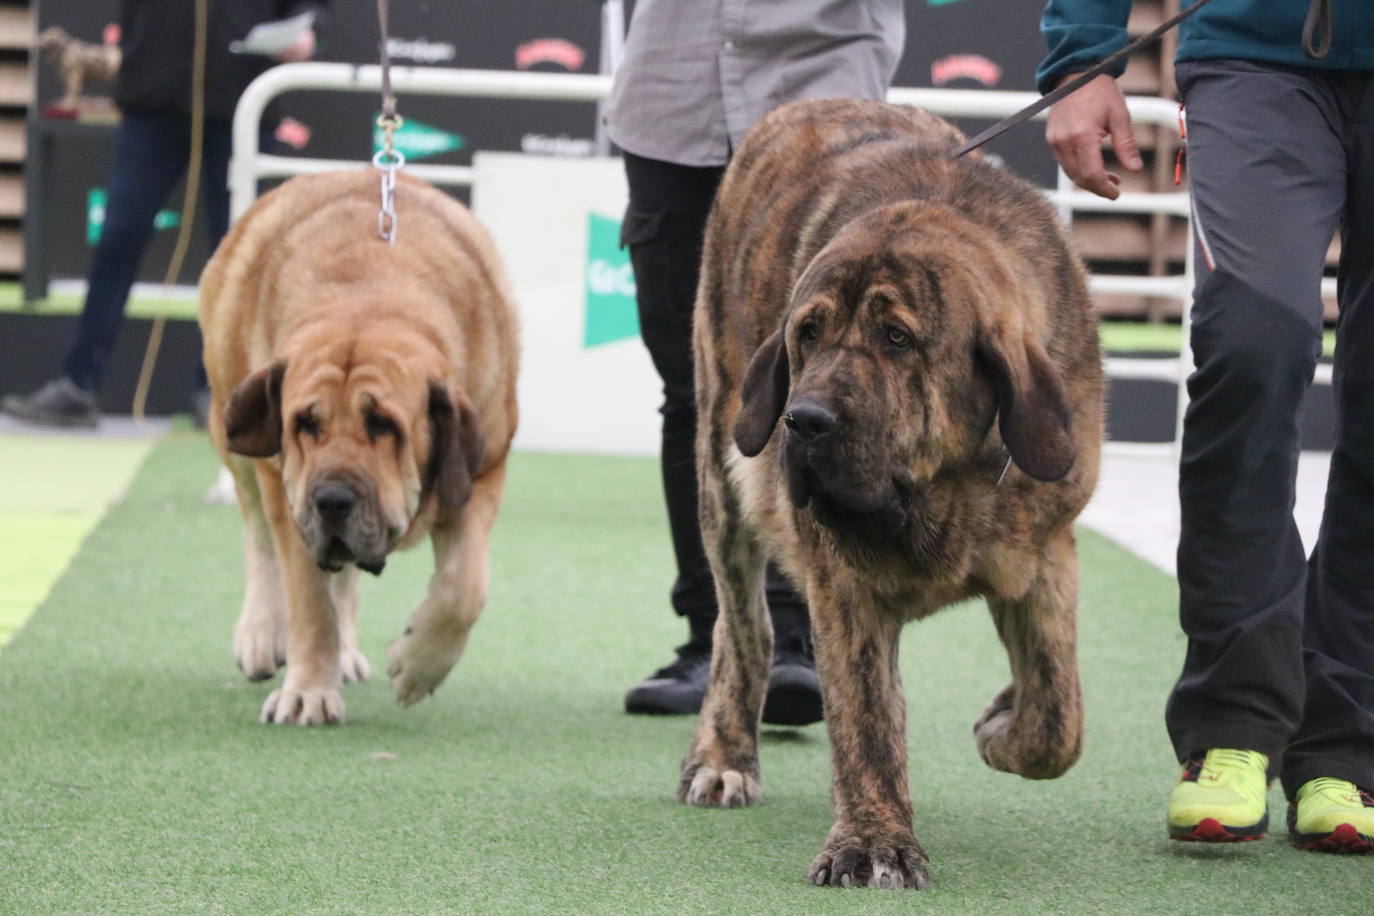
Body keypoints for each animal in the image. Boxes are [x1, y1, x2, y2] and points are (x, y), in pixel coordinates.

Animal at [196, 168, 513, 725]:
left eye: (384, 424)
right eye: (305, 422)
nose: (333, 499)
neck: (370, 292)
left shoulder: (481, 469)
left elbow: (464, 588)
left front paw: (416, 666)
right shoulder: (290, 496)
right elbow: (308, 600)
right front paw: (308, 692)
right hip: (232, 433)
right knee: (259, 537)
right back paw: (261, 635)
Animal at [684, 100, 1104, 889]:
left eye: (897, 338)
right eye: (807, 333)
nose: (803, 422)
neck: (942, 489)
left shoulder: (1045, 552)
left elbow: (1058, 716)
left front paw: (1003, 722)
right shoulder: (842, 586)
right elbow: (866, 721)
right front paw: (873, 842)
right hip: (722, 470)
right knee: (743, 626)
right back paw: (723, 756)